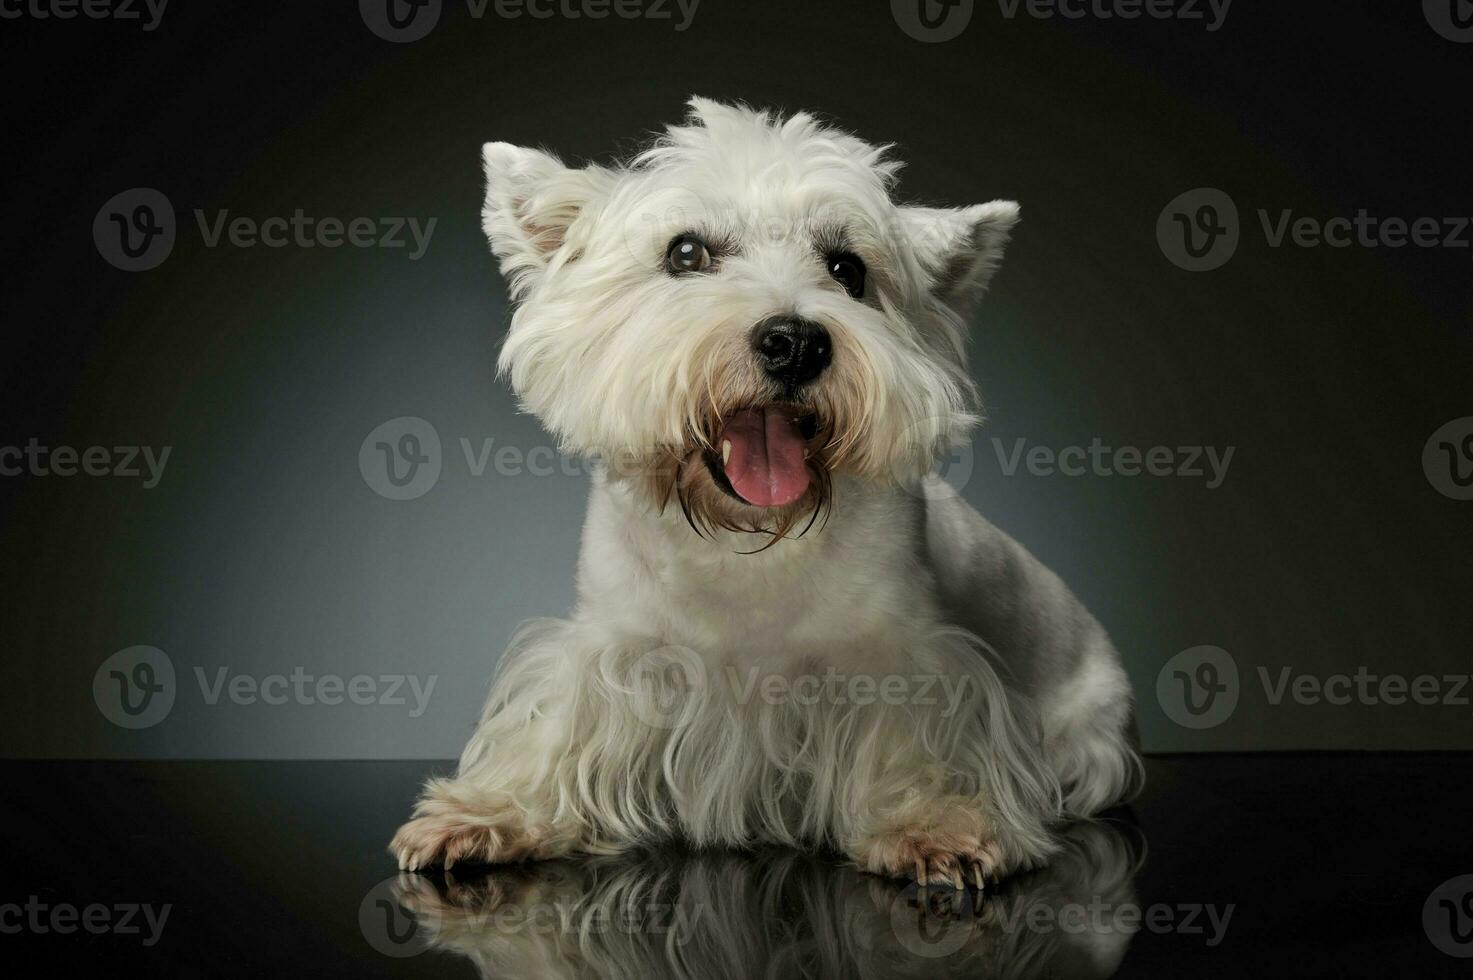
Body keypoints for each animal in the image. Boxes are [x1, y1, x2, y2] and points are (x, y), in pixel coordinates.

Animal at [391, 99, 1137, 884]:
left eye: (848, 269)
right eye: (686, 253)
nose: (797, 342)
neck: (743, 539)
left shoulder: (907, 662)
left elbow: (917, 744)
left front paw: (933, 821)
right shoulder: (608, 646)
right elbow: (556, 733)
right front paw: (488, 813)